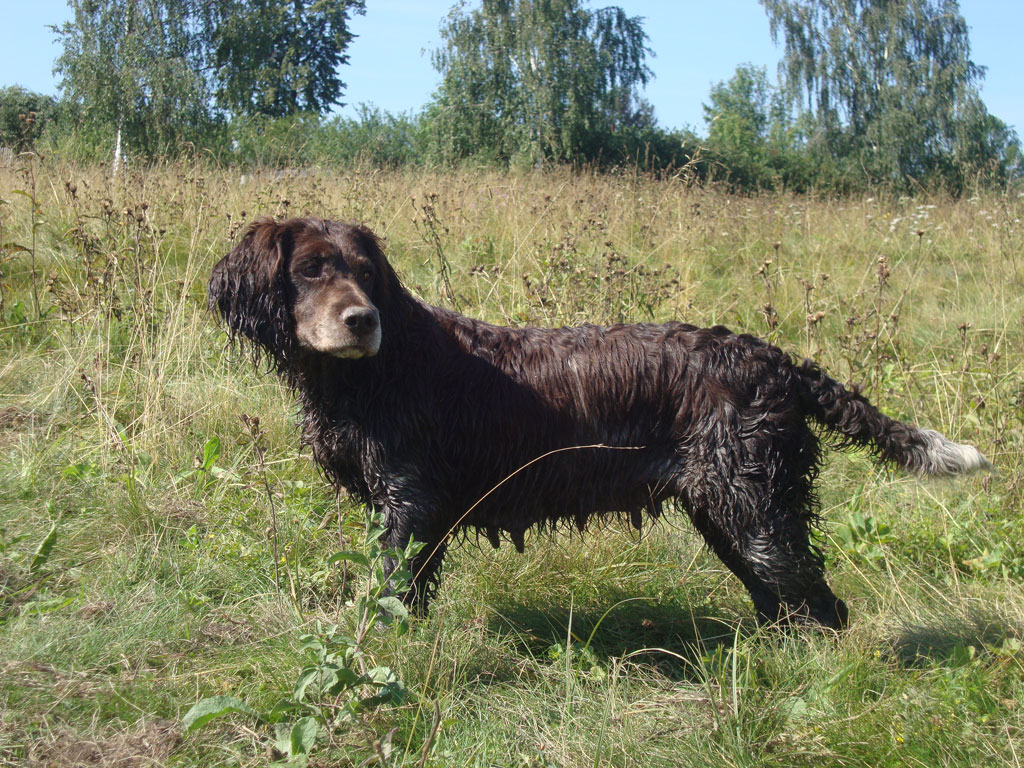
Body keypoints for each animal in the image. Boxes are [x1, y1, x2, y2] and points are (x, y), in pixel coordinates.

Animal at [209, 218, 991, 630]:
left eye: (367, 273)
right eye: (311, 270)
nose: (361, 319)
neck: (376, 370)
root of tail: (774, 360)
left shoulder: (410, 502)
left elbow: (392, 593)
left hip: (756, 509)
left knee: (819, 603)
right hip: (726, 510)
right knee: (784, 604)